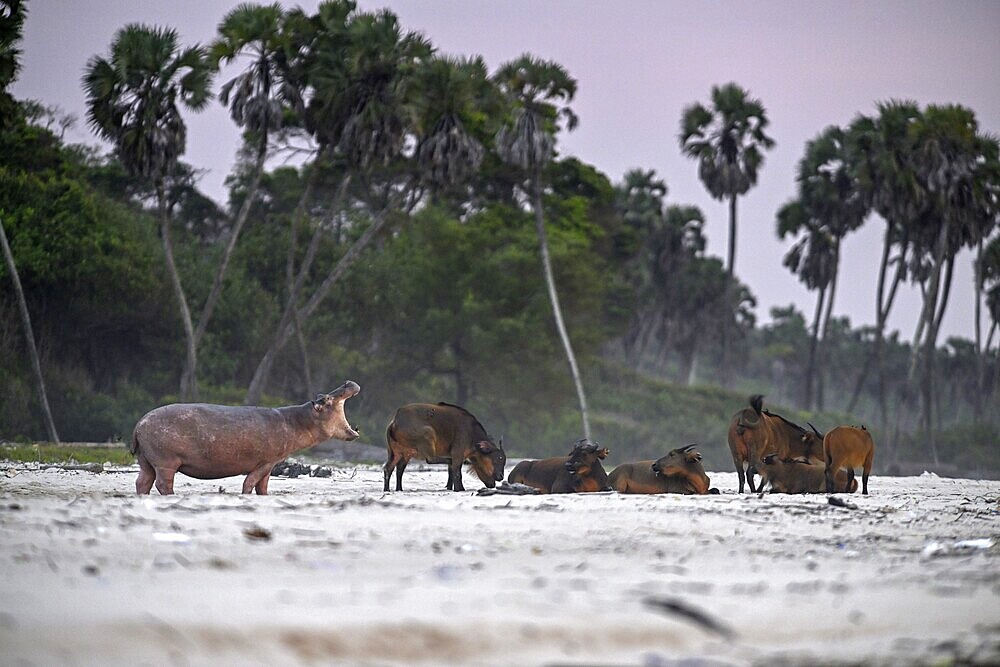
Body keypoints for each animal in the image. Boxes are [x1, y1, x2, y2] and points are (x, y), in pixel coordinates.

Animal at [131, 380, 362, 496]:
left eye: (322, 394)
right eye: (327, 399)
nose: (347, 381)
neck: (298, 421)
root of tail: (139, 423)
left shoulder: (271, 465)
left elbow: (263, 486)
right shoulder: (265, 462)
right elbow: (249, 482)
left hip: (146, 461)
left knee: (143, 482)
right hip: (166, 462)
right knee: (163, 483)